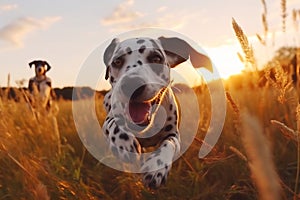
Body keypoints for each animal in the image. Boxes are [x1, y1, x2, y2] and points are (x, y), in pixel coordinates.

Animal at [103, 36, 213, 188]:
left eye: (156, 58)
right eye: (117, 61)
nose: (132, 83)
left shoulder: (173, 135)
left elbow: (169, 144)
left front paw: (157, 166)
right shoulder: (108, 121)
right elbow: (114, 123)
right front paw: (123, 141)